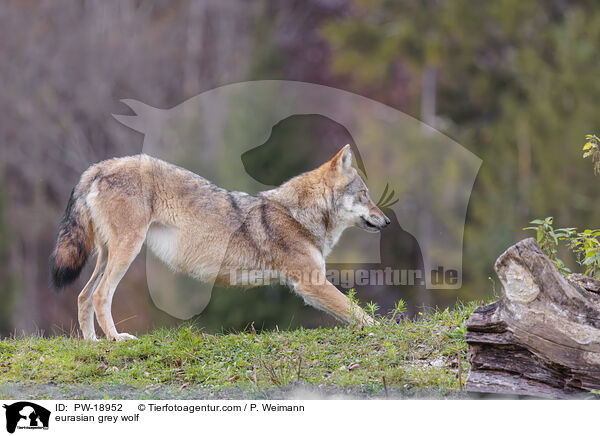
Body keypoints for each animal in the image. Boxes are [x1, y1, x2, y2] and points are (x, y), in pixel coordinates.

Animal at [50, 146, 390, 340]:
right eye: (365, 194)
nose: (386, 221)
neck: (299, 214)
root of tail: (101, 166)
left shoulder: (310, 284)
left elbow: (352, 313)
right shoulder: (311, 282)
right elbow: (358, 312)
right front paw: (385, 329)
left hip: (107, 255)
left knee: (82, 295)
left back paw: (93, 344)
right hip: (126, 252)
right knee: (100, 295)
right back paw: (116, 340)